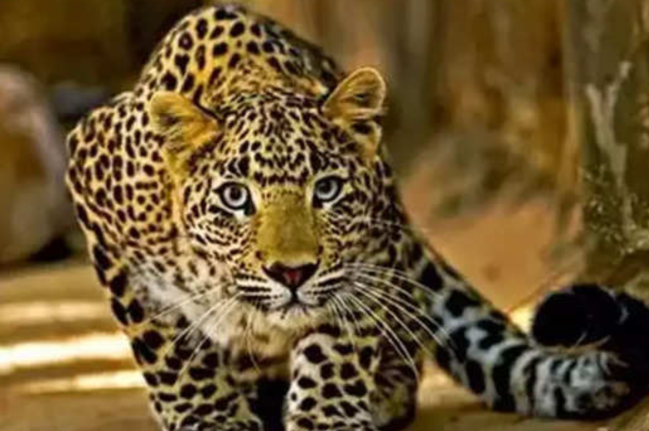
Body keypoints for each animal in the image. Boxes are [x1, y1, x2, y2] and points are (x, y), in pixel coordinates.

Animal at [65, 3, 649, 431]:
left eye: (326, 190)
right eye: (235, 198)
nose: (293, 273)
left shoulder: (369, 255)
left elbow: (336, 346)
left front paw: (328, 416)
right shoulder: (92, 186)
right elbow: (168, 346)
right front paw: (208, 417)